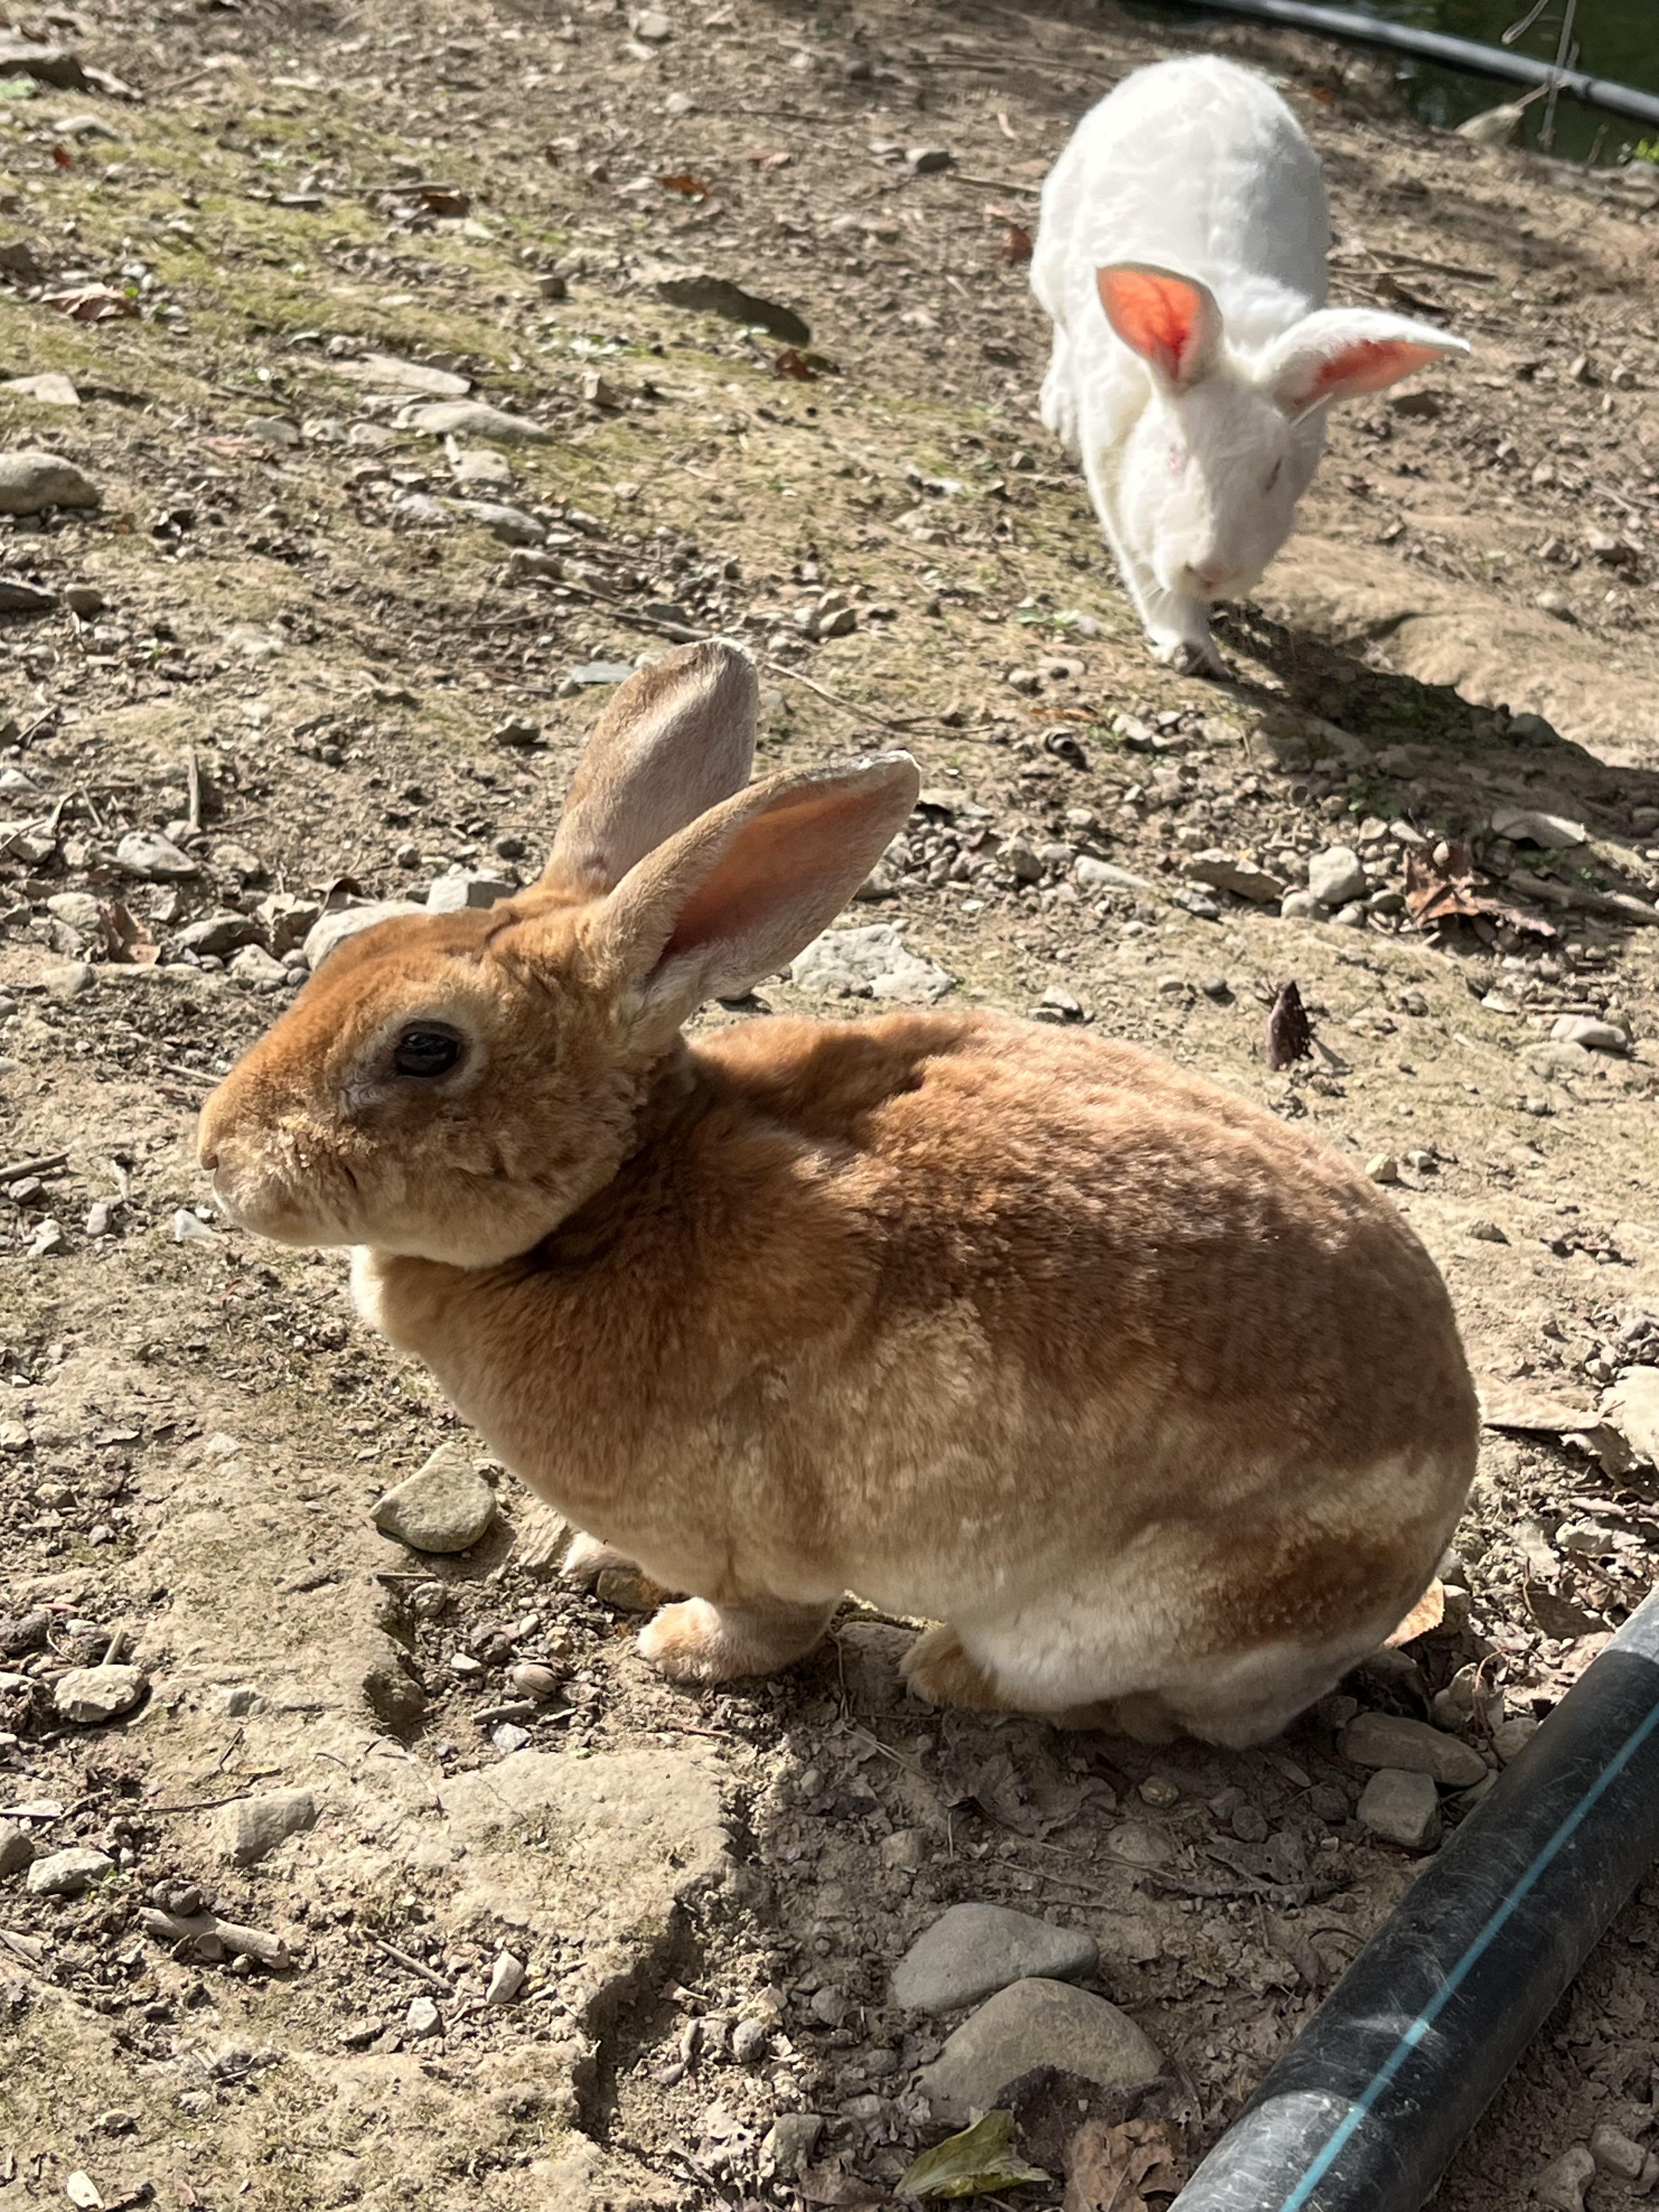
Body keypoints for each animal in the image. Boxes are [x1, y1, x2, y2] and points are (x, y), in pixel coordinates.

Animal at [198, 641, 1477, 1743]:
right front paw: (595, 1565)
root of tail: (1426, 1520)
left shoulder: (743, 1543)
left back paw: (942, 1670)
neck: (614, 1192)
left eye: (426, 1049)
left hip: (1133, 1620)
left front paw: (676, 1647)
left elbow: (771, 1626)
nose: (216, 1157)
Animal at [1035, 64, 1477, 676]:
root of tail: (1202, 63)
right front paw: (1189, 647)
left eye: (1273, 472)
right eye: (1175, 456)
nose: (1212, 569)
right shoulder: (1117, 484)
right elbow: (1149, 576)